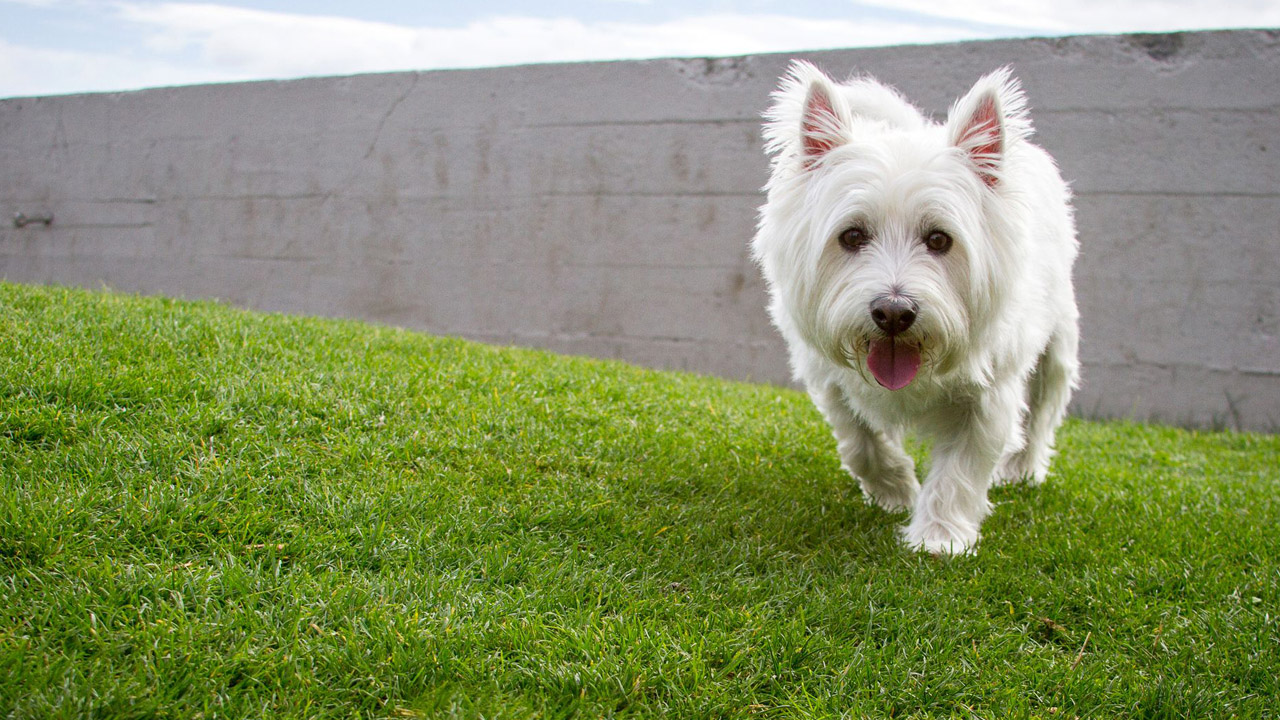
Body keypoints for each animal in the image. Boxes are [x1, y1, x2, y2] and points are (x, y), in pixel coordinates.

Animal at [747, 63, 1080, 556]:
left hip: (1057, 344)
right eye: (852, 236)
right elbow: (859, 442)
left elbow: (961, 468)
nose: (893, 312)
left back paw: (1022, 467)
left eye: (939, 239)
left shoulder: (989, 395)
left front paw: (939, 538)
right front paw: (895, 490)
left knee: (1044, 407)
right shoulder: (828, 378)